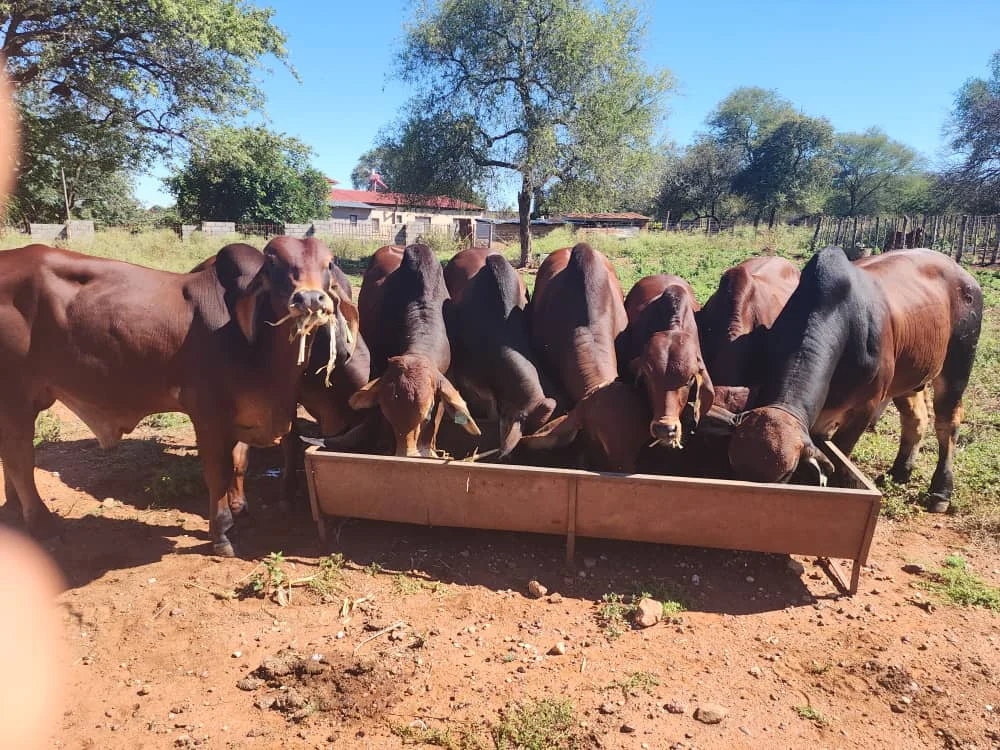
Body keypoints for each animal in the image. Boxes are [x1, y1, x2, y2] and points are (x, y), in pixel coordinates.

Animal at [0, 237, 357, 555]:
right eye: (273, 263)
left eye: (329, 264)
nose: (310, 299)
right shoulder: (207, 414)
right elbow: (217, 473)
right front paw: (222, 533)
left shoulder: (241, 413)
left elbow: (239, 462)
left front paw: (240, 507)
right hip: (16, 397)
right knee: (20, 461)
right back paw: (42, 525)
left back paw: (13, 509)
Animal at [349, 244, 481, 456]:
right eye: (387, 414)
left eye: (426, 415)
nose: (406, 455)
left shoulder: (445, 380)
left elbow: (437, 421)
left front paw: (430, 450)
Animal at [722, 246, 982, 512]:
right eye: (732, 465)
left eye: (785, 475)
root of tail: (962, 272)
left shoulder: (865, 407)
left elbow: (842, 455)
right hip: (909, 377)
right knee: (916, 417)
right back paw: (900, 471)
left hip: (957, 366)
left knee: (947, 423)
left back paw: (940, 492)